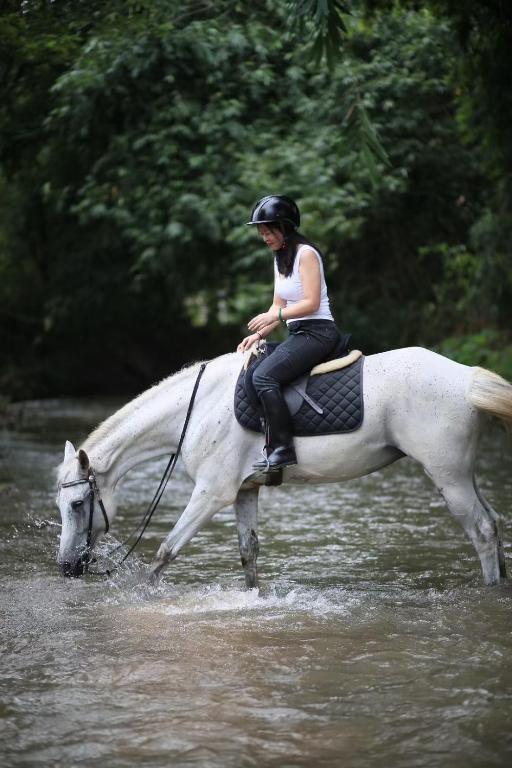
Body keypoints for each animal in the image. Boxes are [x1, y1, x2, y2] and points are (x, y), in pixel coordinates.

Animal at [56, 346, 512, 587]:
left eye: (78, 504)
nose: (66, 567)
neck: (197, 407)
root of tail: (467, 378)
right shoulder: (244, 491)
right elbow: (249, 554)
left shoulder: (211, 493)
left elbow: (166, 551)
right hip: (461, 474)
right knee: (494, 522)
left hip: (448, 477)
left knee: (482, 530)